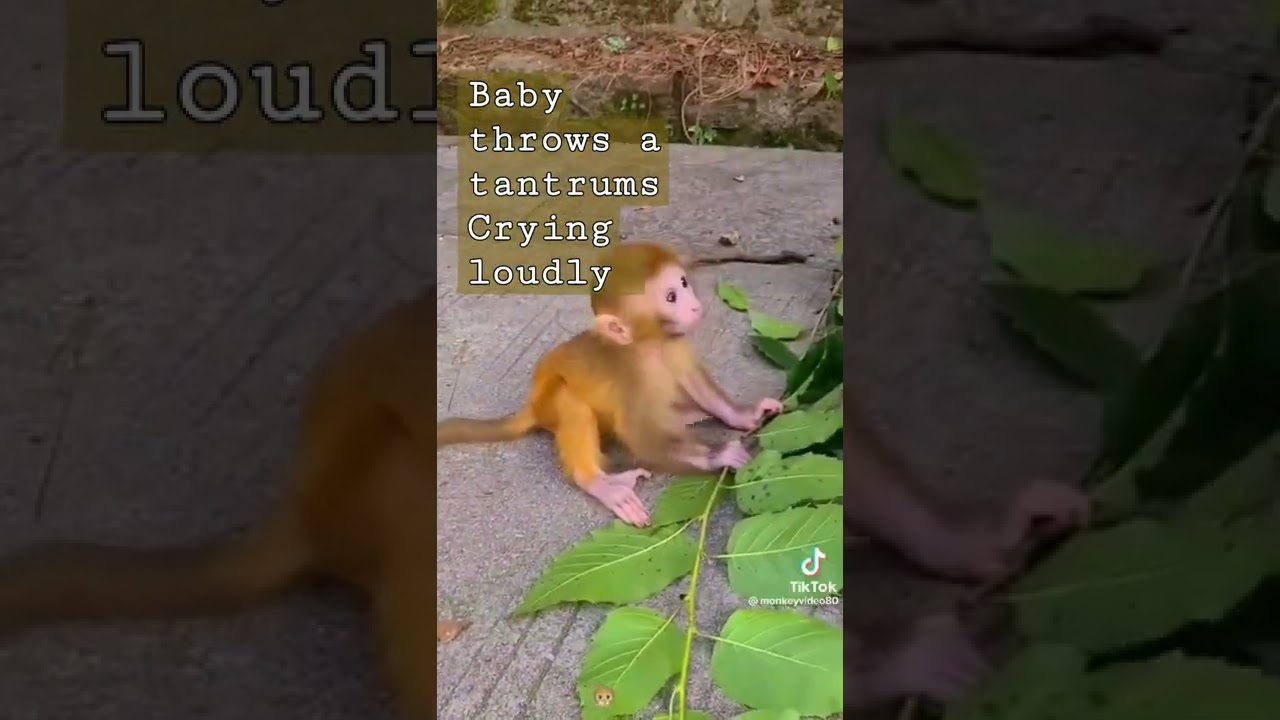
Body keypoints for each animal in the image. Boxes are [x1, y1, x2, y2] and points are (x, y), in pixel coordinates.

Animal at [437, 242, 782, 528]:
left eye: (684, 283)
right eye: (671, 296)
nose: (695, 306)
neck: (649, 345)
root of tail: (532, 406)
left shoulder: (674, 344)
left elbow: (693, 380)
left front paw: (744, 415)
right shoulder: (633, 375)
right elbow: (640, 435)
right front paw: (723, 454)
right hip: (550, 405)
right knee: (569, 401)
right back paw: (597, 482)